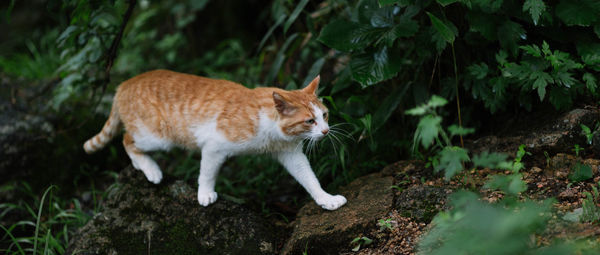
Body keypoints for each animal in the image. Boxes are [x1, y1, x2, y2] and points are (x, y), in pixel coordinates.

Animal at [83, 69, 346, 209]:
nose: (326, 131)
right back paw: (151, 169)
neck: (268, 123)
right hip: (156, 136)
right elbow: (207, 173)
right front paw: (205, 194)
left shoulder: (290, 153)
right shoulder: (214, 147)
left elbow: (309, 178)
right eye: (309, 121)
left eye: (324, 115)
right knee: (127, 140)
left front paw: (326, 199)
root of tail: (125, 83)